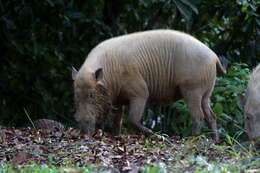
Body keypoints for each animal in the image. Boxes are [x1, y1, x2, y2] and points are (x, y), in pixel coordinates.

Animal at [71, 29, 225, 141]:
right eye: (76, 96)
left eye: (91, 95)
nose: (83, 133)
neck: (109, 75)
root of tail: (214, 56)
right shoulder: (119, 99)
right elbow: (118, 120)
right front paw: (116, 137)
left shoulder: (140, 92)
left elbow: (132, 119)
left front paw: (156, 135)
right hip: (206, 93)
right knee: (211, 116)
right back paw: (215, 141)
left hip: (192, 90)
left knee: (198, 116)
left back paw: (191, 139)